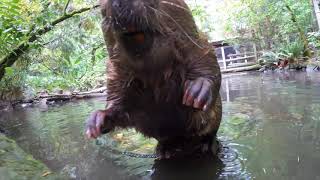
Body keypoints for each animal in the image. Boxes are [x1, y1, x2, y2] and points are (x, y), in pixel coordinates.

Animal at [85, 0, 222, 158]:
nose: (119, 3)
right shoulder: (115, 71)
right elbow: (120, 104)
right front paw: (95, 122)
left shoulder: (192, 37)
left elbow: (204, 55)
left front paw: (195, 93)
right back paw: (164, 150)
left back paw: (208, 144)